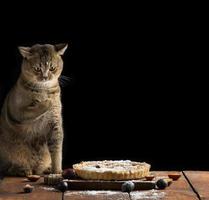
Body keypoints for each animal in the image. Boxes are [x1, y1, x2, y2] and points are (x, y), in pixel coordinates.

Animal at [0, 43, 68, 176]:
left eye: (52, 68)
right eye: (37, 69)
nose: (45, 77)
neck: (44, 89)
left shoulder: (55, 123)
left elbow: (57, 150)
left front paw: (57, 171)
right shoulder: (17, 112)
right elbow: (34, 109)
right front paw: (47, 101)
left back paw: (46, 169)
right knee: (8, 168)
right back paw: (23, 170)